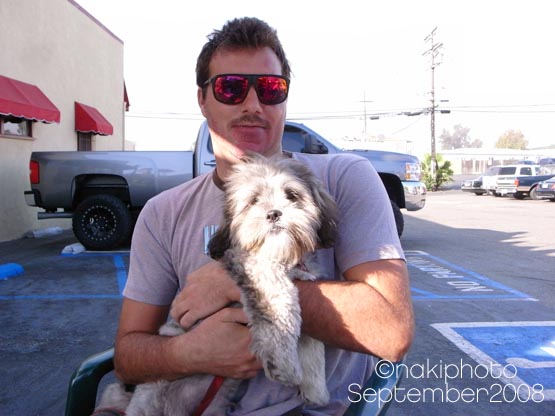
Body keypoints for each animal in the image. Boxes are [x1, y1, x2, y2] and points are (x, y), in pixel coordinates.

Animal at [95, 153, 338, 415]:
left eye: (292, 195)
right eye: (253, 201)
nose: (273, 214)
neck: (283, 257)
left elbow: (312, 342)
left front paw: (315, 388)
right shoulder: (258, 273)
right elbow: (281, 311)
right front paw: (283, 363)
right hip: (149, 399)